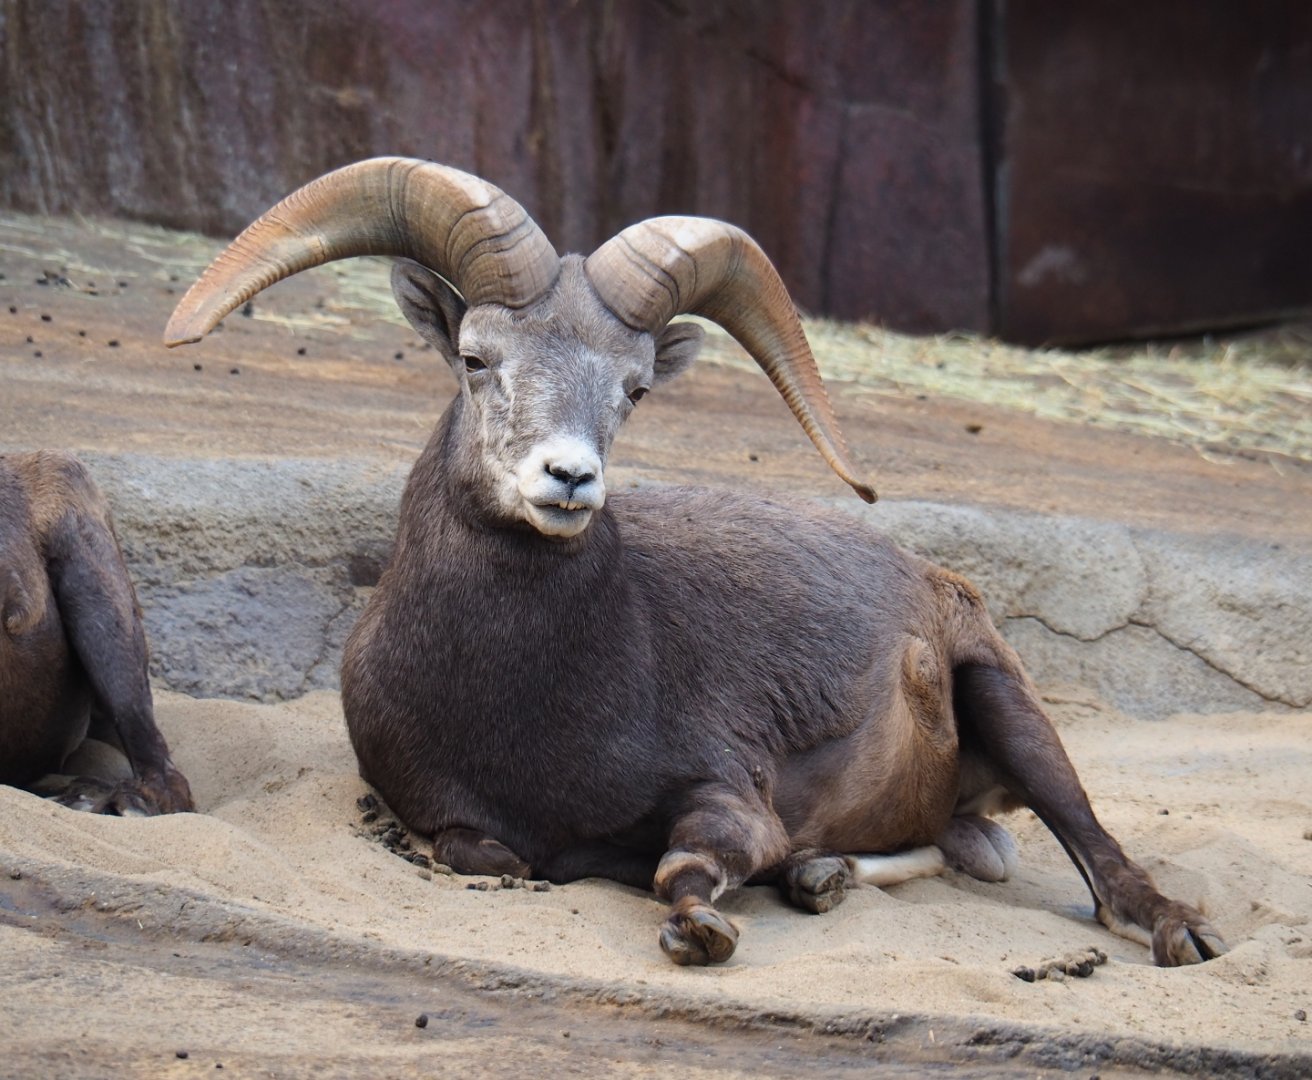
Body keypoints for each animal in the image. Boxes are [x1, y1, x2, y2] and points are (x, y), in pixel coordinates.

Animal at [166, 157, 1226, 967]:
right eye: (475, 357)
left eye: (633, 388)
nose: (568, 479)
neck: (518, 694)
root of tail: (935, 584)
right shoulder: (447, 821)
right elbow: (492, 857)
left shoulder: (726, 796)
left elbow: (687, 866)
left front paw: (702, 927)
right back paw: (822, 874)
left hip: (1009, 705)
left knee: (1095, 866)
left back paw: (1176, 933)